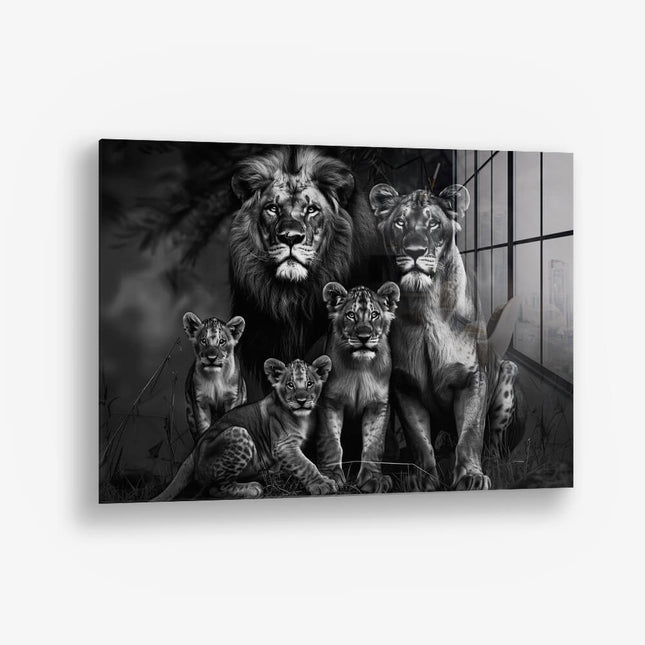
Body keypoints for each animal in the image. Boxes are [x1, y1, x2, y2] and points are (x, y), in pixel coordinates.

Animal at [151, 356, 337, 501]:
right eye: (290, 385)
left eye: (310, 383)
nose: (301, 400)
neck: (302, 417)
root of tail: (194, 451)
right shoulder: (283, 446)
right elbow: (306, 465)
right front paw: (322, 484)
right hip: (239, 432)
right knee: (216, 488)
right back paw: (253, 488)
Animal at [182, 312, 247, 441]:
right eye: (203, 341)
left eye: (222, 341)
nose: (211, 358)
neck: (215, 377)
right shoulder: (201, 402)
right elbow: (203, 428)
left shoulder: (233, 398)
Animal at [316, 281, 400, 493]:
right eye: (351, 315)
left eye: (374, 314)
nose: (364, 336)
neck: (360, 368)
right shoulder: (330, 401)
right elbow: (331, 442)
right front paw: (331, 476)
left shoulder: (378, 405)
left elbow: (373, 444)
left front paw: (373, 479)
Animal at [369, 183, 525, 491]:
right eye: (400, 222)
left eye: (433, 223)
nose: (415, 250)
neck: (425, 305)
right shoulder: (404, 385)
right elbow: (419, 438)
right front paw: (423, 479)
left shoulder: (473, 378)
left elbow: (471, 433)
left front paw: (471, 477)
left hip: (507, 373)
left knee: (494, 442)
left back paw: (496, 464)